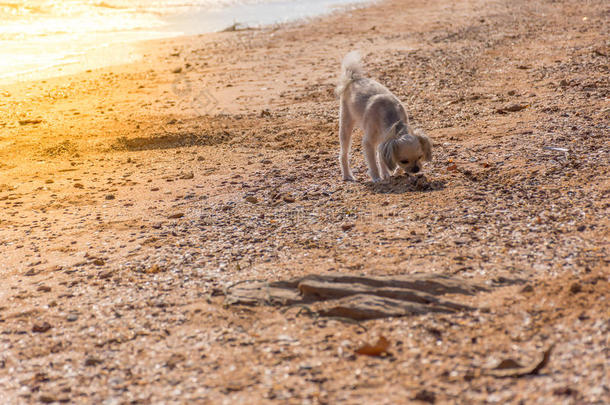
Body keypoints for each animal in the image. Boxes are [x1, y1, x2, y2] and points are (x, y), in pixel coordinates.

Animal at [334, 51, 430, 181]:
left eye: (420, 157)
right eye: (404, 161)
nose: (416, 169)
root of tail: (354, 79)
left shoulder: (385, 140)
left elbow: (382, 158)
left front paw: (386, 174)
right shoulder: (368, 143)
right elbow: (372, 162)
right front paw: (376, 177)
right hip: (345, 125)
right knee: (343, 154)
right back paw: (347, 175)